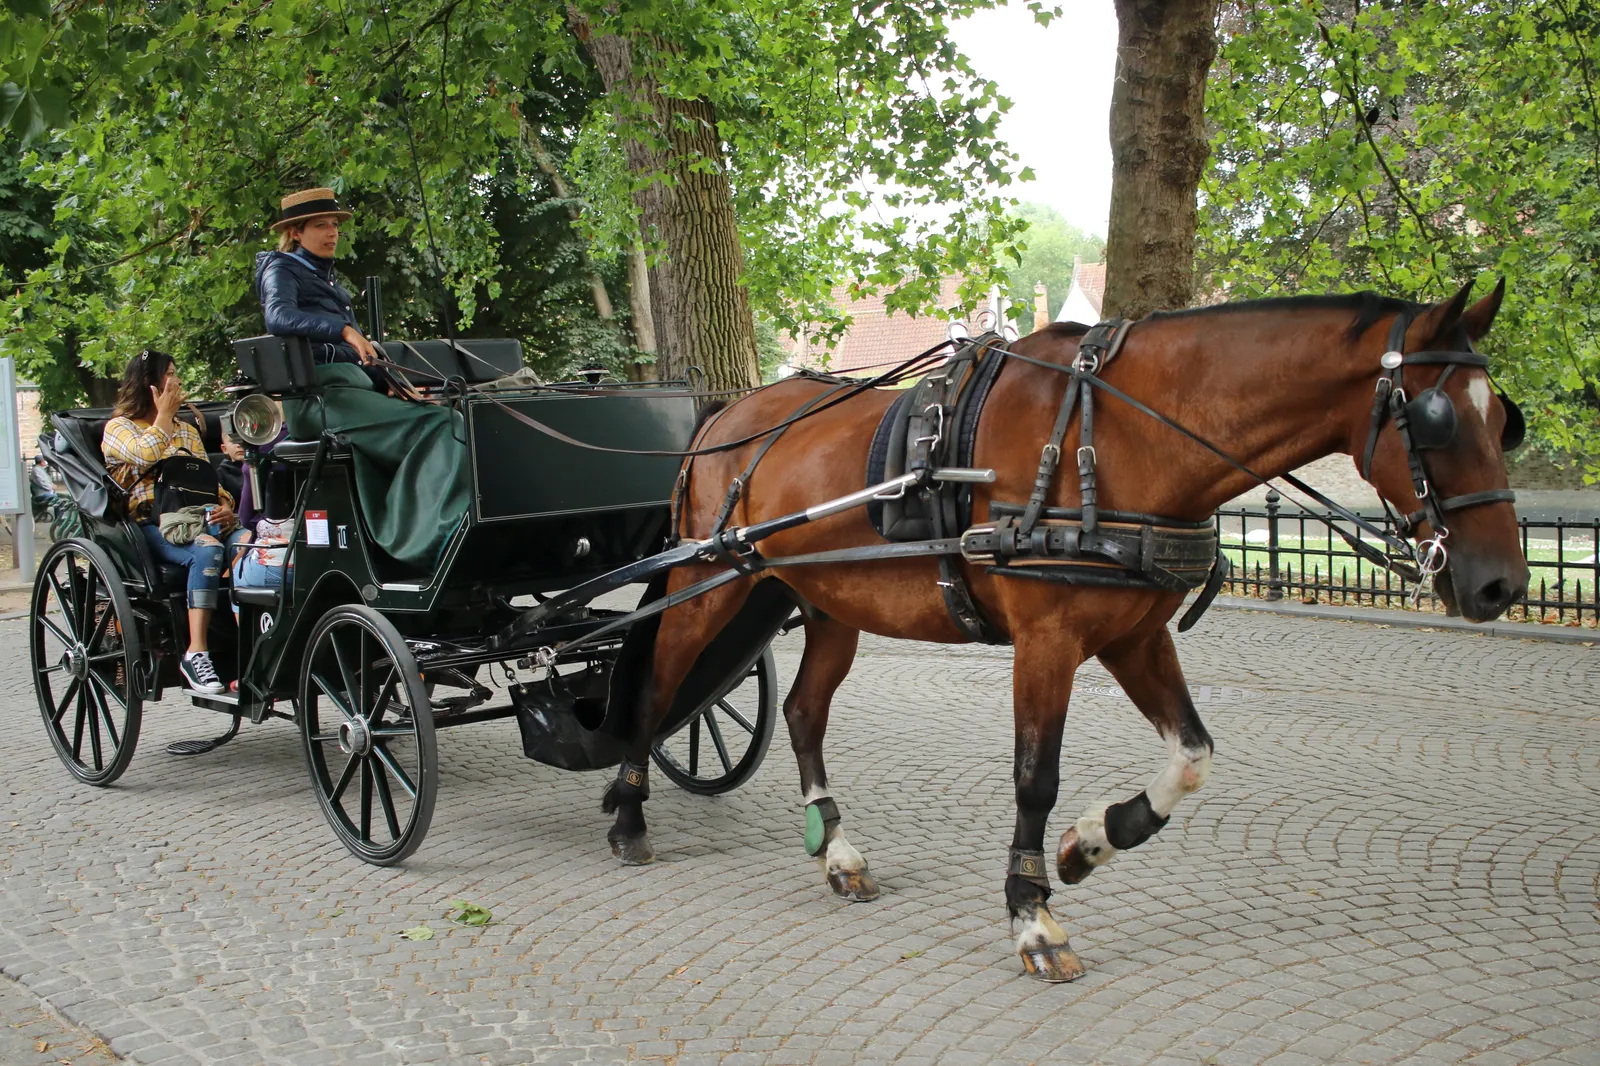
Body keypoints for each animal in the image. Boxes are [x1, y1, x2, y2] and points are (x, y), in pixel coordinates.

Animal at [605, 281, 1528, 982]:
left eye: (1504, 421)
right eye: (1438, 418)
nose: (1504, 584)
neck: (1114, 435)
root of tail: (728, 418)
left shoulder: (1136, 637)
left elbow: (1193, 756)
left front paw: (1092, 843)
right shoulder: (1046, 639)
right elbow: (1034, 778)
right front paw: (1033, 915)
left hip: (830, 605)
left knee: (801, 712)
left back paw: (837, 853)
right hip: (708, 586)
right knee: (656, 684)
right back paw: (629, 814)